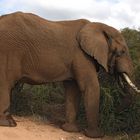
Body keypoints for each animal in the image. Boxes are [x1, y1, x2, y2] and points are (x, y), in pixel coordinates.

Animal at [0, 11, 139, 138]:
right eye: (122, 52)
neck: (98, 26)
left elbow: (73, 89)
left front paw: (69, 130)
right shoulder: (82, 55)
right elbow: (90, 87)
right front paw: (96, 135)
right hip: (8, 49)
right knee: (5, 83)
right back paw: (8, 123)